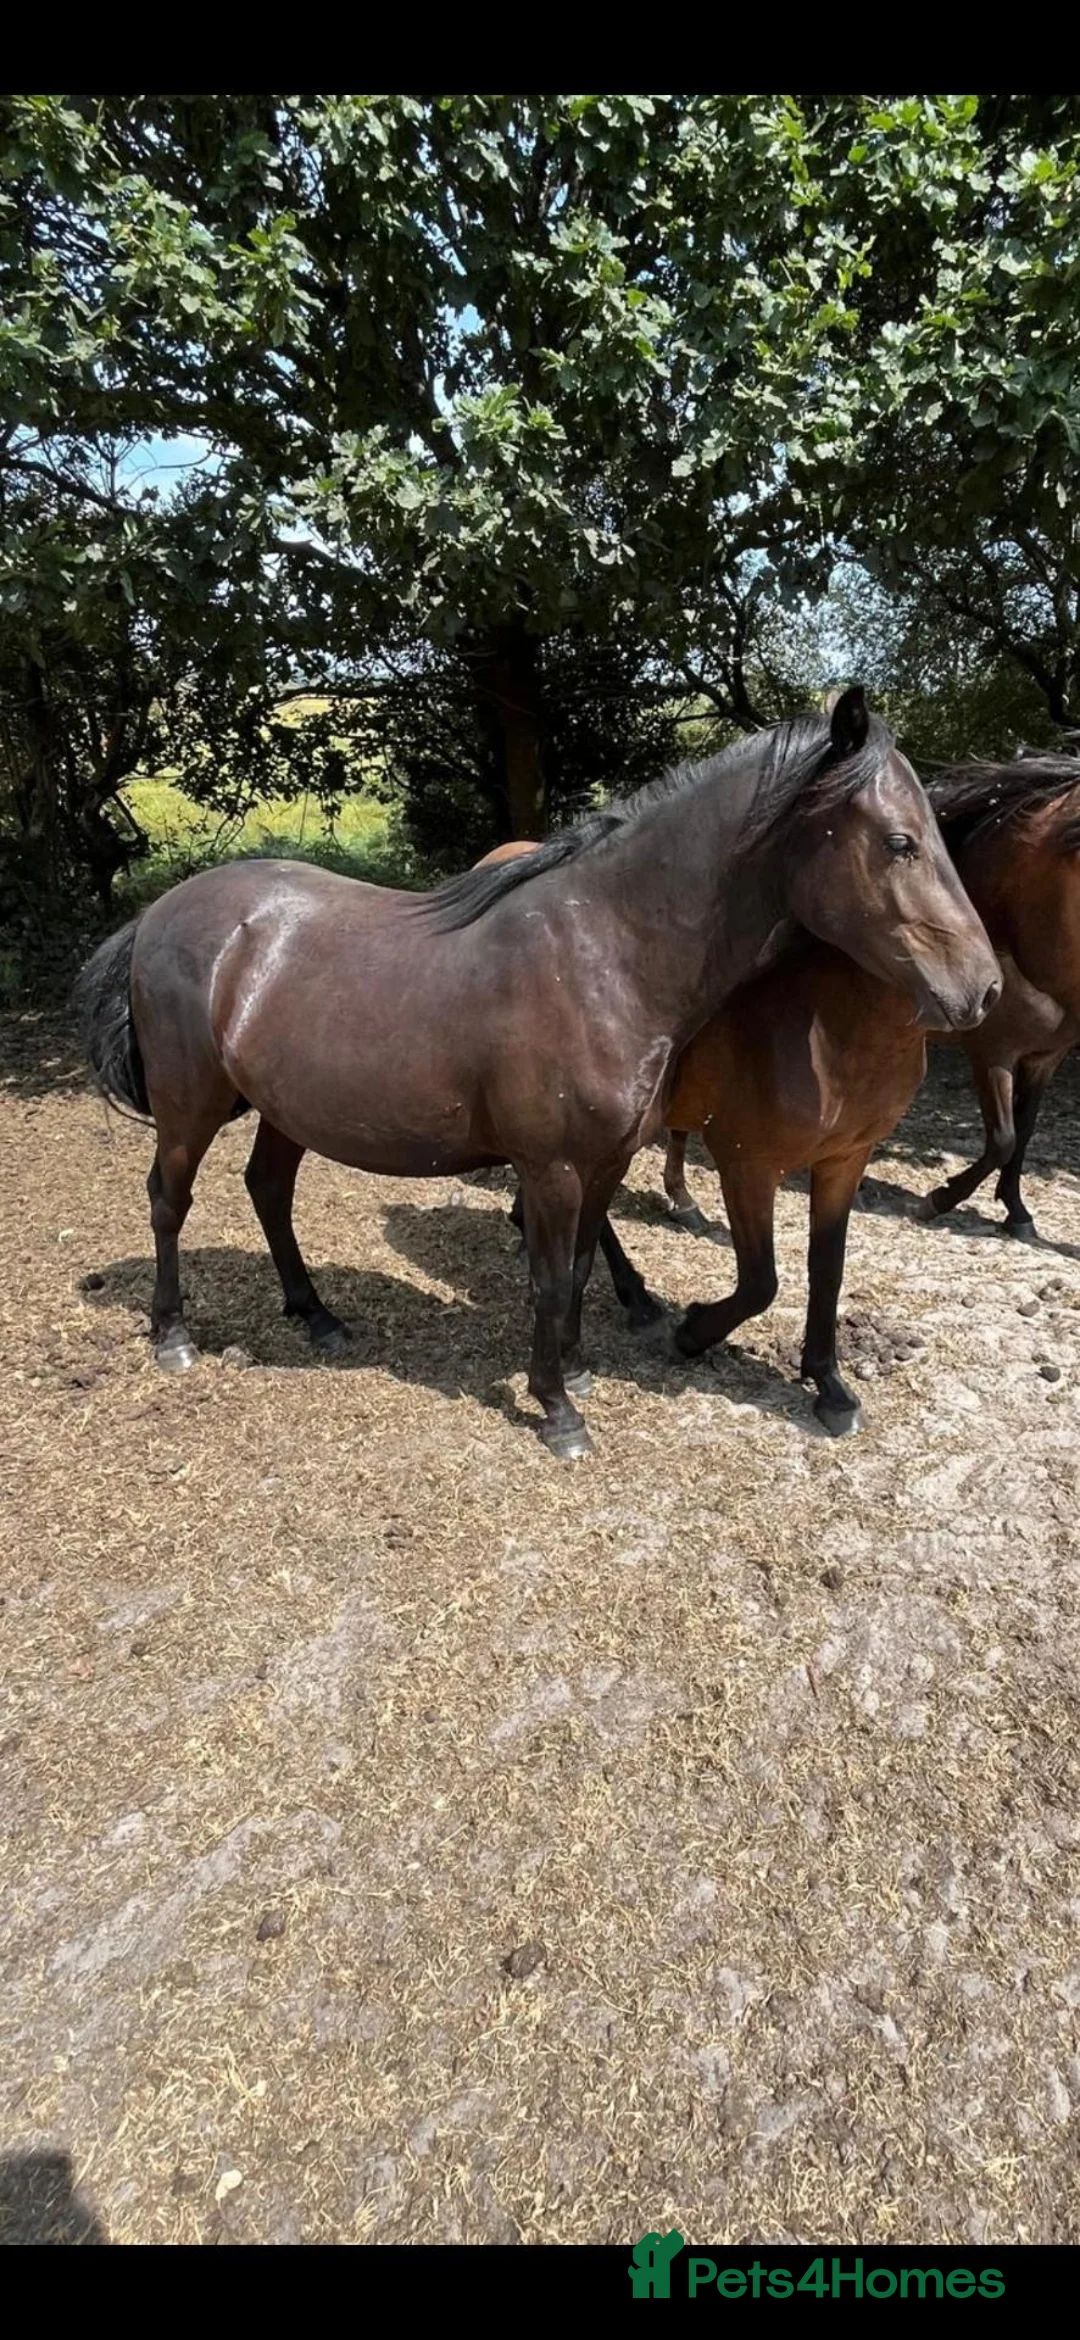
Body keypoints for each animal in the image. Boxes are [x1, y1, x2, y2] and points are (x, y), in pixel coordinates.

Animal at [74, 689, 1000, 1461]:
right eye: (900, 842)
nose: (981, 988)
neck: (603, 951)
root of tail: (160, 915)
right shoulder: (555, 1168)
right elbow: (552, 1280)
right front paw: (559, 1411)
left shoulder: (607, 1162)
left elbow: (584, 1267)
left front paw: (581, 1367)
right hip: (190, 1105)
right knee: (169, 1200)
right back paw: (173, 1335)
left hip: (286, 1110)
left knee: (268, 1190)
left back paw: (318, 1316)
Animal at [913, 756, 1080, 1241]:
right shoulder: (992, 1052)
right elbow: (1003, 1139)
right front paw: (941, 1198)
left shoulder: (1046, 1058)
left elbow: (1024, 1132)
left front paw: (1016, 1209)